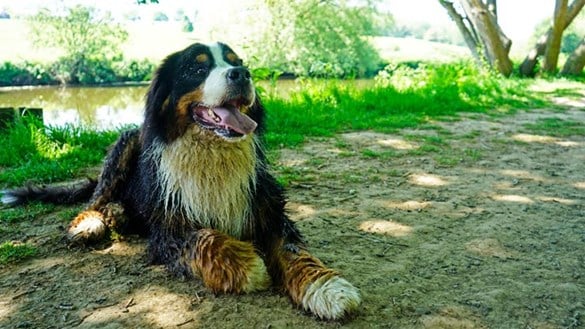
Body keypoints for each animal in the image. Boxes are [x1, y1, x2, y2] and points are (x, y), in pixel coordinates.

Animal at [1, 42, 360, 320]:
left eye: (237, 61)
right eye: (196, 68)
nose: (242, 74)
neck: (211, 154)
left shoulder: (268, 209)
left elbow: (294, 251)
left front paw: (326, 287)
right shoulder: (168, 230)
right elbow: (205, 238)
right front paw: (250, 265)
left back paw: (119, 215)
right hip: (127, 141)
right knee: (96, 199)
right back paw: (92, 222)